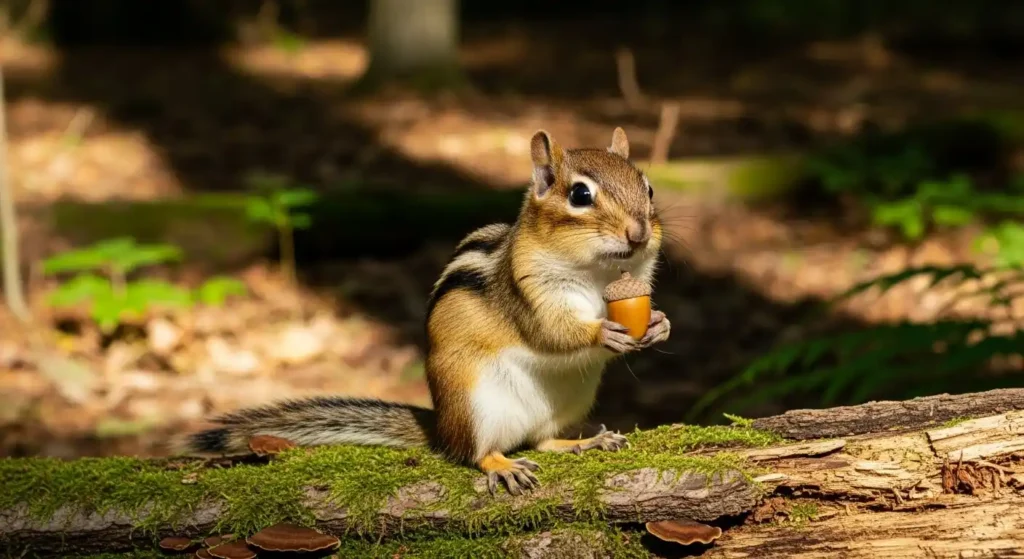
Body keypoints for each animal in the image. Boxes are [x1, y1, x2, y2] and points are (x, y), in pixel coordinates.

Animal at [178, 127, 671, 495]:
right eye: (580, 195)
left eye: (648, 187)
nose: (639, 232)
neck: (597, 276)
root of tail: (442, 428)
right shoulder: (527, 291)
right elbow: (551, 332)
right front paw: (601, 333)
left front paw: (660, 325)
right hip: (475, 403)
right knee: (477, 452)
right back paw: (502, 465)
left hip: (570, 400)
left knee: (543, 440)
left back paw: (585, 443)